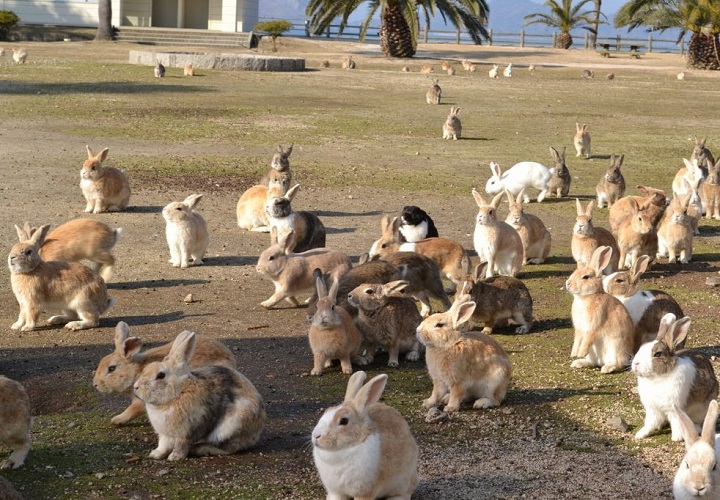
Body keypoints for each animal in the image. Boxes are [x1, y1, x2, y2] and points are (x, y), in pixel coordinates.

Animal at [93, 320, 236, 426]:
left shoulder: (142, 401)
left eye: (111, 368)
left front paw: (116, 420)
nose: (95, 385)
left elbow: (132, 410)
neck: (137, 371)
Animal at [132, 332, 264, 460]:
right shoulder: (164, 434)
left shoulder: (186, 433)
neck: (178, 393)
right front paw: (155, 454)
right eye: (148, 367)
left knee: (228, 448)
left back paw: (200, 449)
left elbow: (181, 446)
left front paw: (174, 457)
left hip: (230, 428)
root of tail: (257, 432)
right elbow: (163, 446)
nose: (136, 387)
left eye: (160, 375)